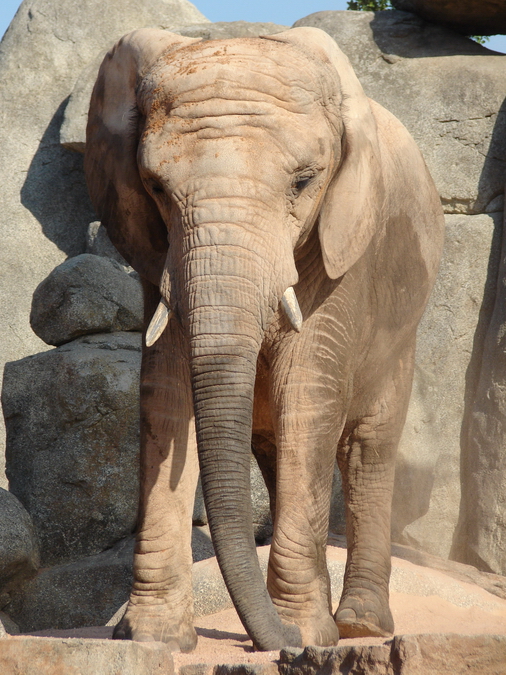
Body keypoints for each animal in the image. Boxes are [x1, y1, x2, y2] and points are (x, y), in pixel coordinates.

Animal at [84, 26, 444, 652]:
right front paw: (152, 639)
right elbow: (166, 394)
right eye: (155, 188)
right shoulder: (161, 254)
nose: (279, 640)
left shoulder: (342, 251)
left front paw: (307, 633)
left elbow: (308, 396)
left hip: (401, 328)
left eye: (303, 182)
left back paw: (358, 624)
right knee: (274, 445)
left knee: (366, 446)